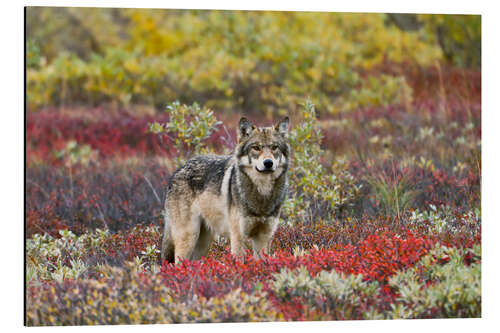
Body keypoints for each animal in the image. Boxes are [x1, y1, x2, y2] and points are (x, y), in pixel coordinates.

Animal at [162, 116, 290, 262]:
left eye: (274, 147)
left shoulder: (263, 237)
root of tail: (178, 170)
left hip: (203, 244)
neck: (262, 193)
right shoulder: (238, 237)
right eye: (256, 148)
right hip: (188, 237)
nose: (268, 163)